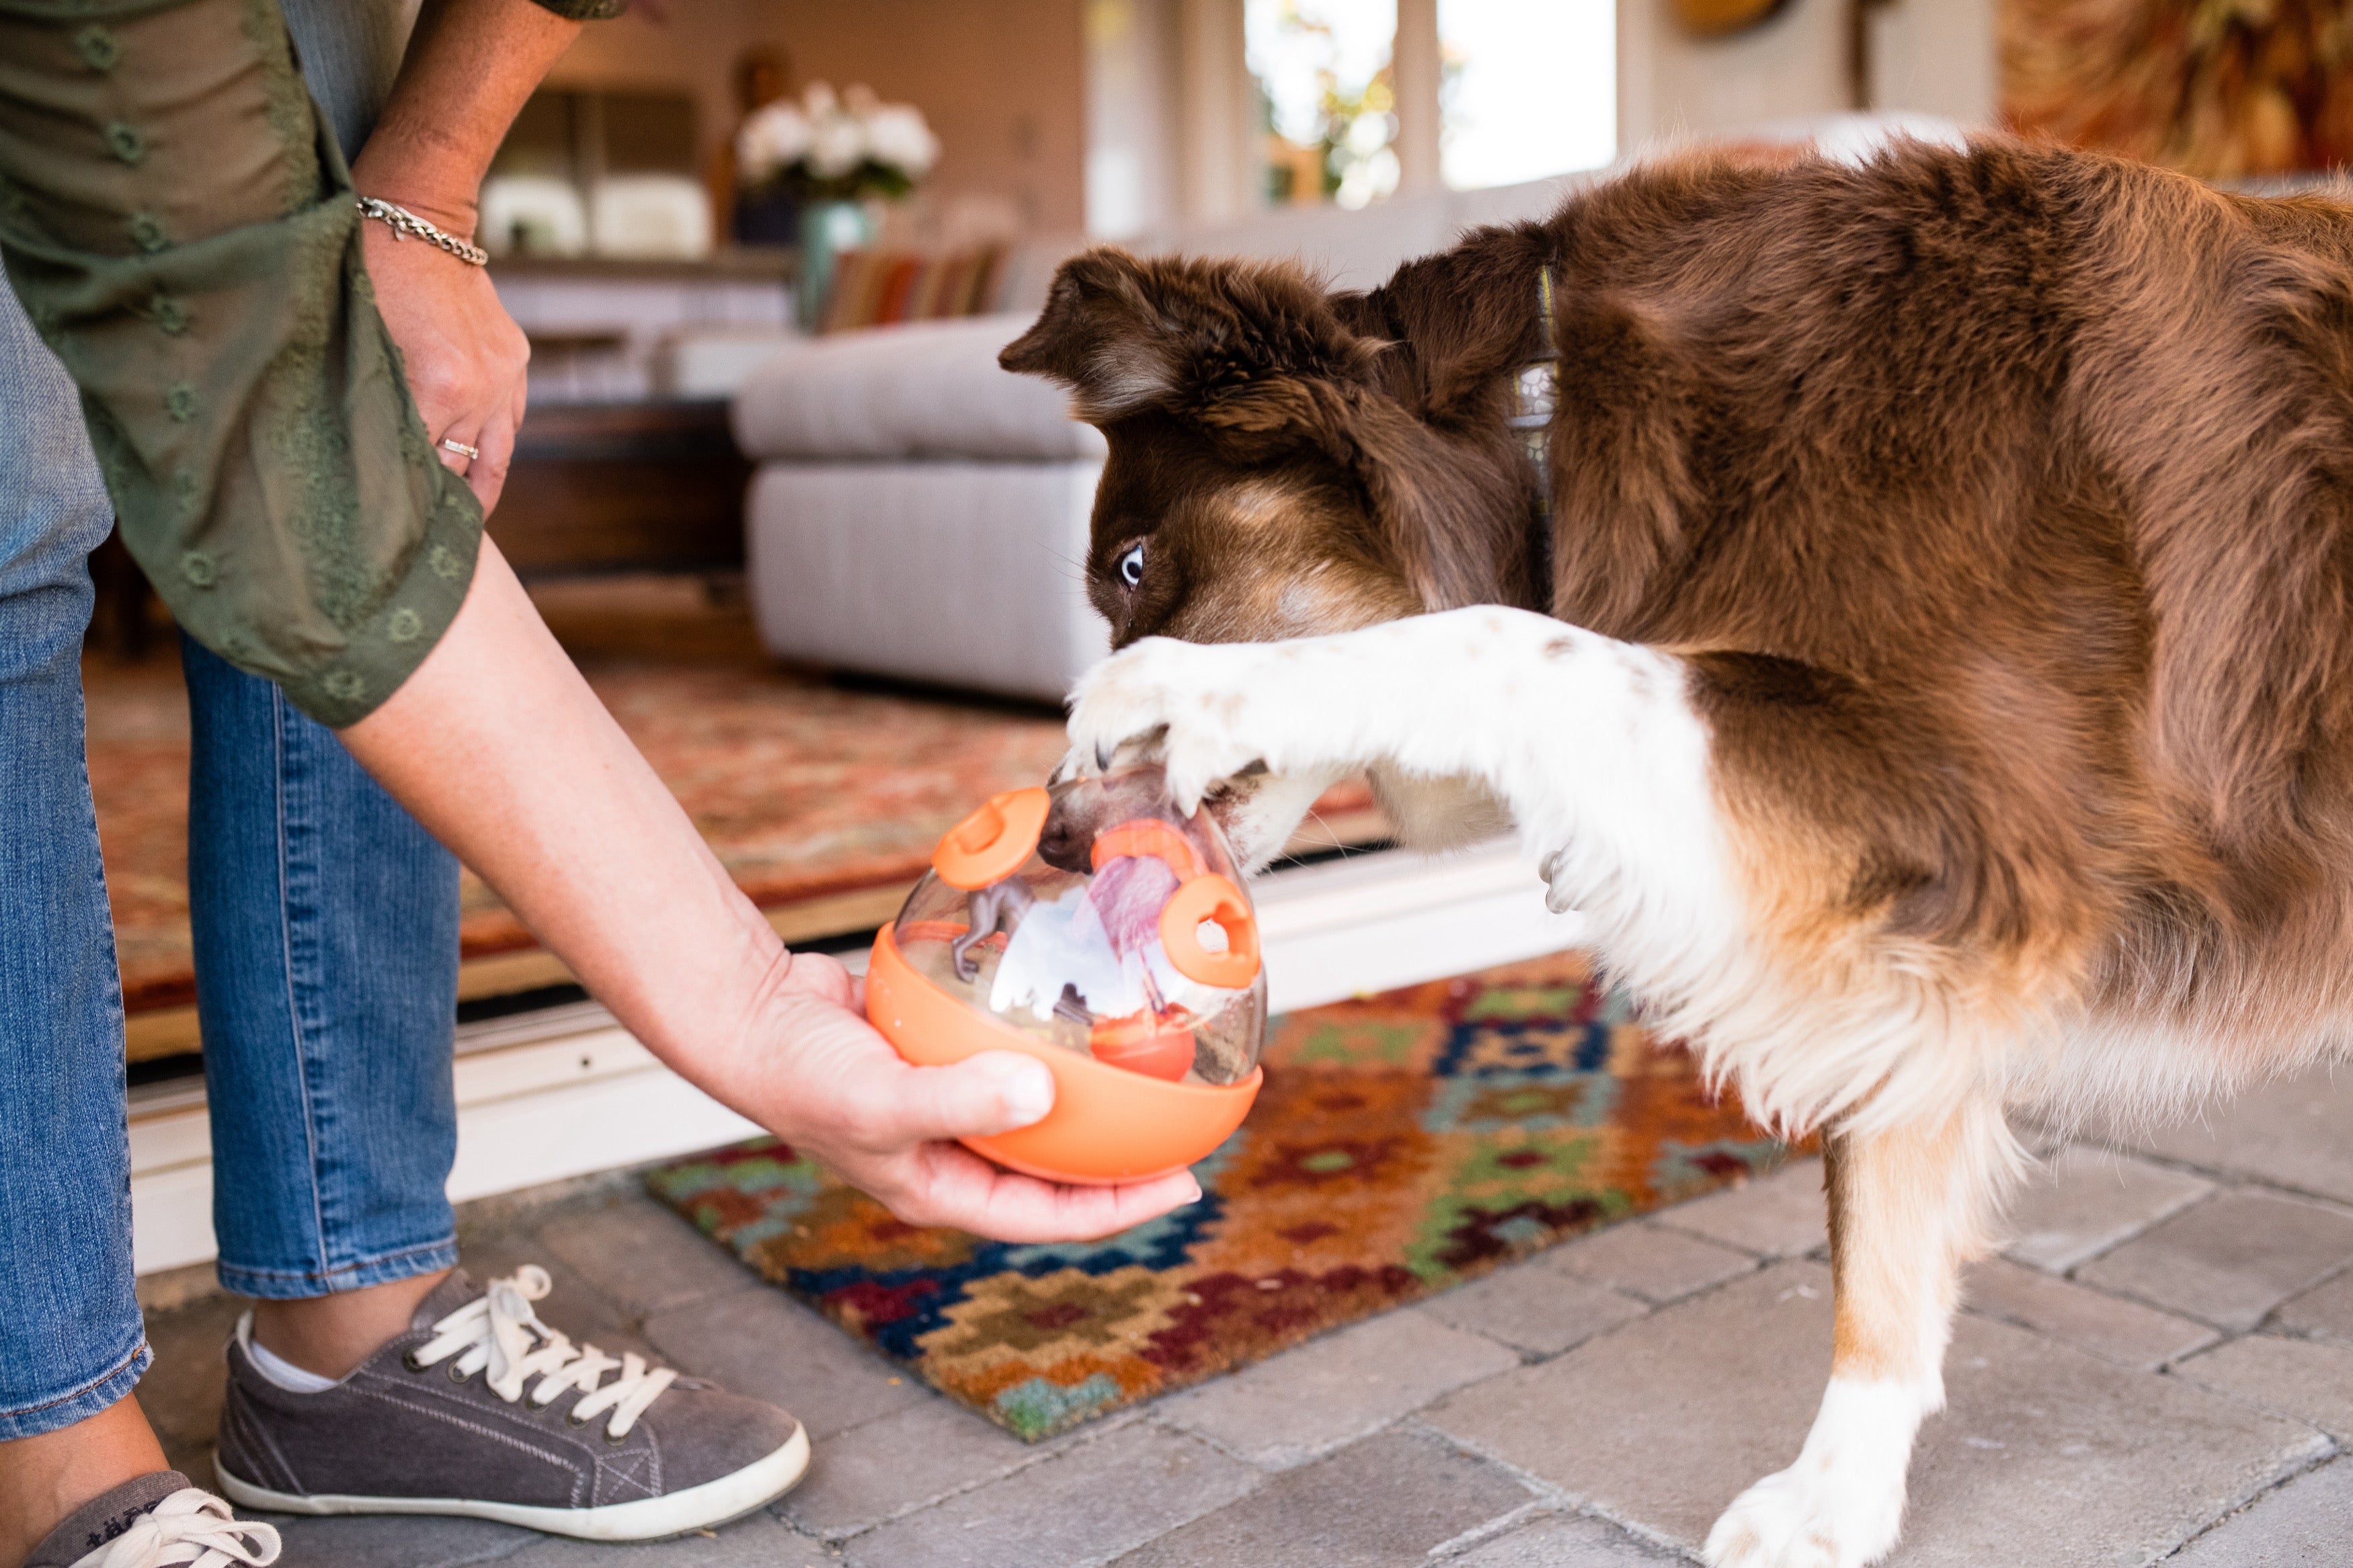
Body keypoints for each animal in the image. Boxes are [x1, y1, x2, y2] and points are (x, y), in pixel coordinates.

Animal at [1002, 138, 2353, 1568]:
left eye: (1132, 567)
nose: (1055, 837)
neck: (1557, 433)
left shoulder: (1975, 814)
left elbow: (1499, 639)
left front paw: (1195, 682)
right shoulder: (1924, 916)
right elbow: (1881, 1204)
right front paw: (1843, 1493)